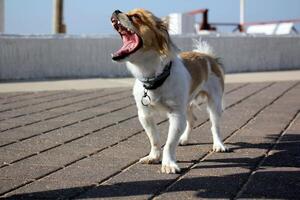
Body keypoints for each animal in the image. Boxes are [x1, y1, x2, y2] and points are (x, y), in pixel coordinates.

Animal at [111, 9, 229, 173]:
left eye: (136, 17)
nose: (116, 10)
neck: (154, 78)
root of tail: (207, 56)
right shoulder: (145, 115)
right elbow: (154, 139)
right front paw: (153, 157)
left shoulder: (176, 115)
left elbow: (169, 143)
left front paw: (168, 164)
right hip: (187, 104)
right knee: (192, 120)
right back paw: (184, 139)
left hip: (214, 103)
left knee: (215, 126)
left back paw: (219, 145)